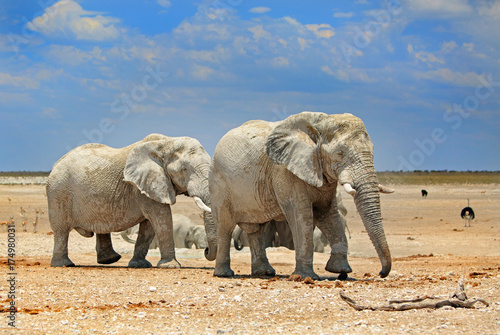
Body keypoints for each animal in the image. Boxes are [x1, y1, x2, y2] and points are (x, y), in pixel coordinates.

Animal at [46, 133, 212, 270]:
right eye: (184, 169)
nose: (206, 250)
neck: (166, 142)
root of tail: (56, 164)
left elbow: (149, 225)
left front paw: (139, 265)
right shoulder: (143, 187)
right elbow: (161, 218)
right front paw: (171, 266)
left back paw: (110, 260)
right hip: (58, 193)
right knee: (61, 230)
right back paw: (64, 264)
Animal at [205, 113, 392, 280]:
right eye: (340, 153)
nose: (381, 273)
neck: (321, 123)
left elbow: (329, 215)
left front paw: (340, 271)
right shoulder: (285, 172)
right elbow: (301, 215)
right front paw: (306, 276)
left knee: (257, 229)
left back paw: (264, 272)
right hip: (219, 184)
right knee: (225, 226)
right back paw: (224, 274)